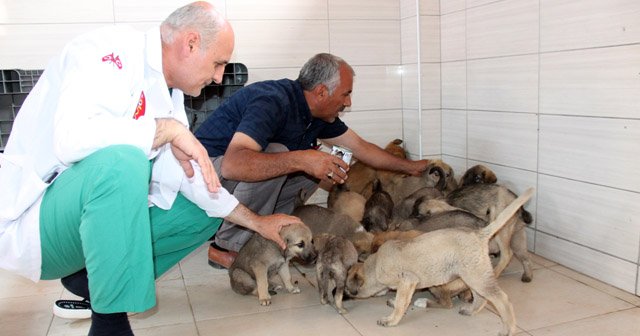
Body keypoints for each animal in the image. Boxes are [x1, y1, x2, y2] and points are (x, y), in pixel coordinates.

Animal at [344, 189, 536, 334]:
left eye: (345, 286)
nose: (342, 296)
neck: (375, 264)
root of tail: (480, 233)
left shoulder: (408, 280)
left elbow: (400, 303)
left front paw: (391, 320)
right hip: (473, 276)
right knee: (481, 298)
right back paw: (470, 311)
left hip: (474, 278)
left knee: (502, 299)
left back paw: (508, 329)